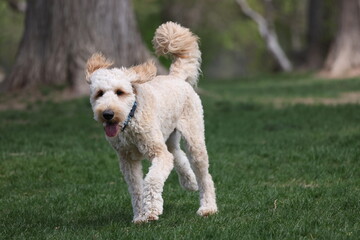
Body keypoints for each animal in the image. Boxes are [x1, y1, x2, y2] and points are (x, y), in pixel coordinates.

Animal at [86, 21, 218, 222]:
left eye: (120, 92)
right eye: (99, 93)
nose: (107, 114)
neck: (131, 119)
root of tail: (176, 76)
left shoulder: (158, 153)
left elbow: (152, 179)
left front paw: (152, 210)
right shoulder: (127, 160)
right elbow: (136, 188)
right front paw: (140, 216)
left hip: (194, 137)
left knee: (204, 175)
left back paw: (208, 207)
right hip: (169, 136)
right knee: (177, 154)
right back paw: (189, 182)